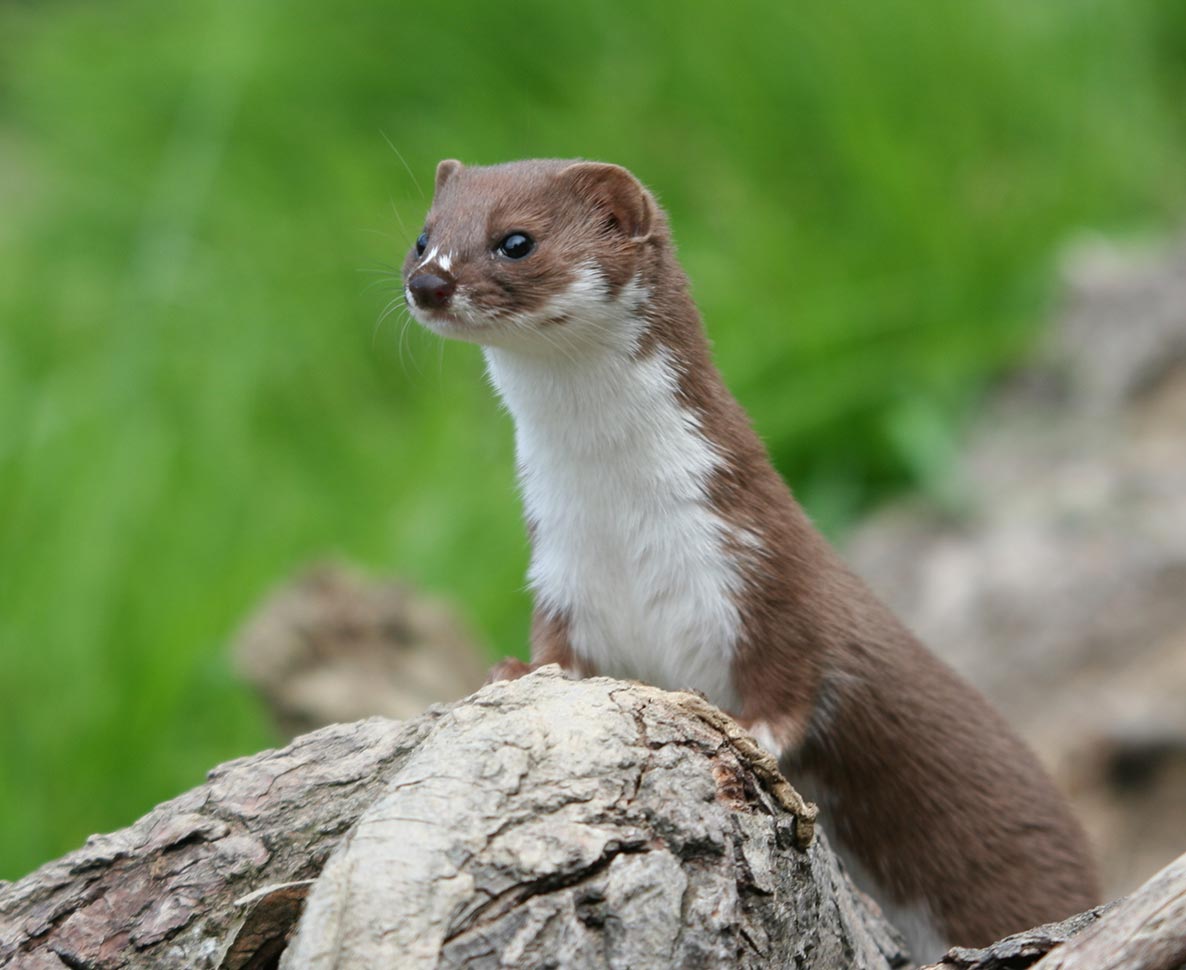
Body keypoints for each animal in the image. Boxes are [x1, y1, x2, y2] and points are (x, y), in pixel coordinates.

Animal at [400, 158, 1100, 958]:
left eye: (515, 240)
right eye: (423, 235)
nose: (427, 282)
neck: (622, 531)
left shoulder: (762, 566)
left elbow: (799, 671)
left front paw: (755, 730)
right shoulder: (561, 572)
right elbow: (558, 650)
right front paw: (515, 670)